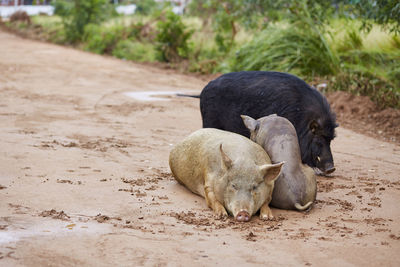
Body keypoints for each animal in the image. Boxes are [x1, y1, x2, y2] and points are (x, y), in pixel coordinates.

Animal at [189, 71, 336, 176]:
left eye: (330, 139)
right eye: (318, 139)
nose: (331, 168)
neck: (301, 117)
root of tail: (203, 91)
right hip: (209, 120)